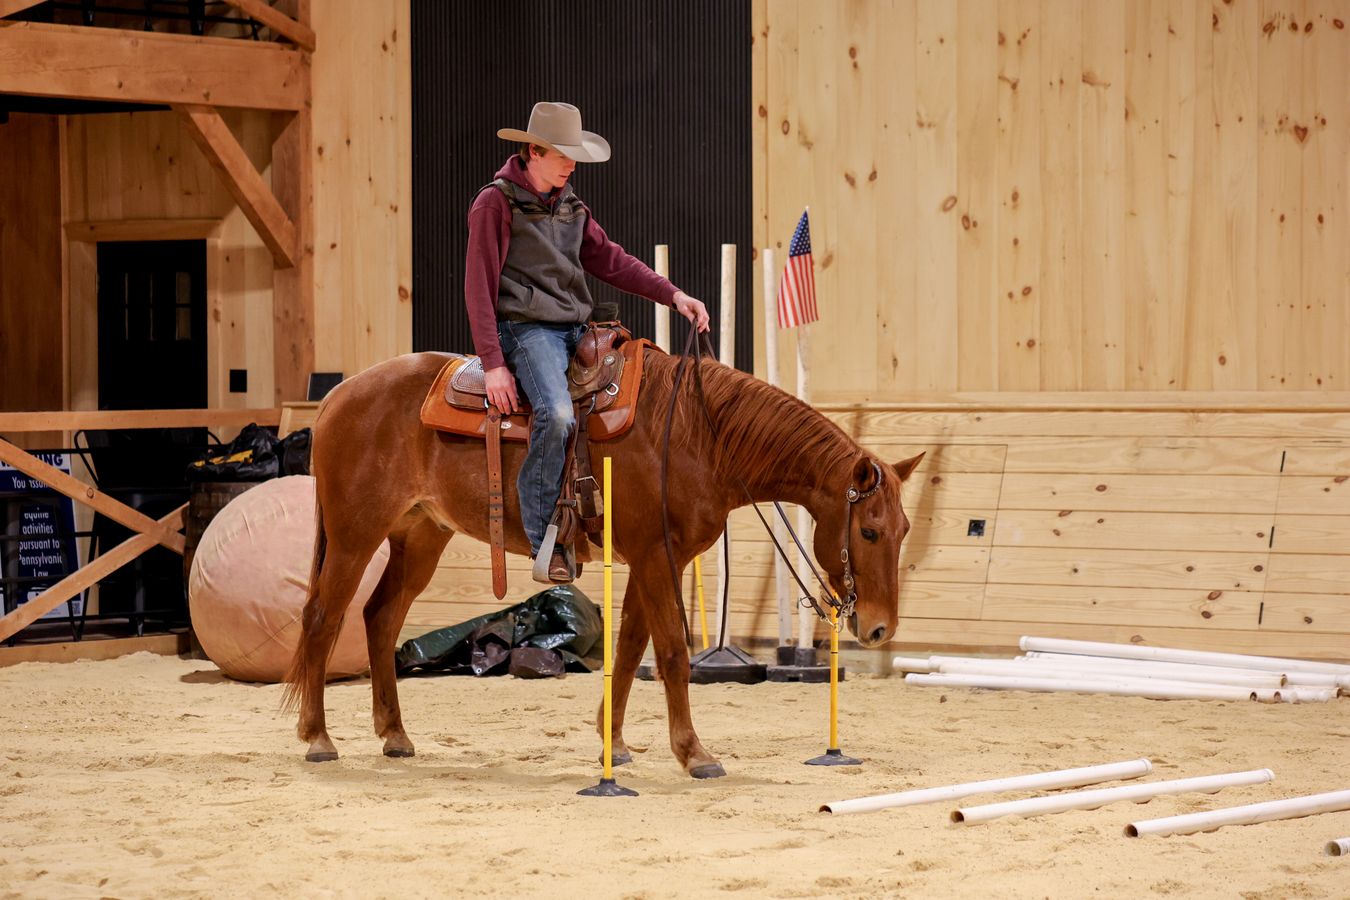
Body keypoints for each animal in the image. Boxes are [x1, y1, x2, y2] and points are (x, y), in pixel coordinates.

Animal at [283, 346, 924, 778]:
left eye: (903, 530)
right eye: (869, 531)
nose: (878, 628)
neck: (696, 435)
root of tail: (338, 396)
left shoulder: (651, 560)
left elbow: (632, 649)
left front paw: (612, 744)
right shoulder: (656, 557)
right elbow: (671, 654)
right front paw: (694, 753)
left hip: (419, 537)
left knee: (380, 617)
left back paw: (394, 735)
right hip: (353, 537)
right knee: (321, 618)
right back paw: (317, 738)